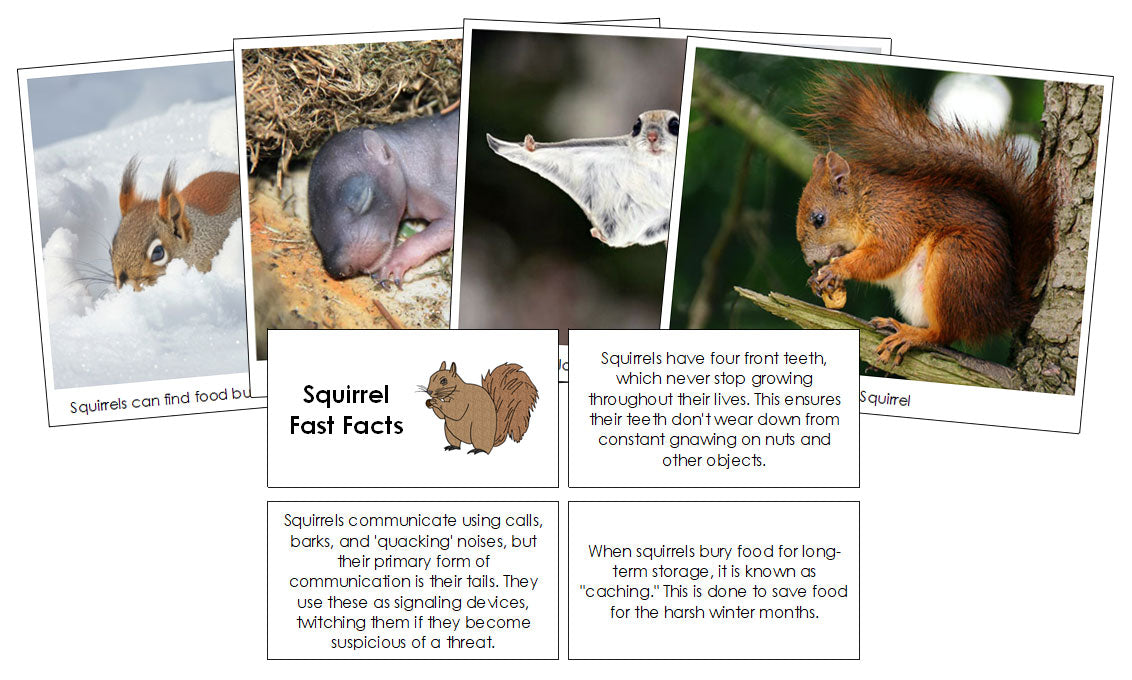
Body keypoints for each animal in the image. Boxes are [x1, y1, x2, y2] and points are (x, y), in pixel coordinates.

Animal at [796, 70, 1057, 365]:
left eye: (819, 218)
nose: (810, 262)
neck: (866, 201)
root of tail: (999, 311)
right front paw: (815, 281)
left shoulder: (895, 220)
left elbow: (886, 255)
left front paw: (837, 269)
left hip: (956, 262)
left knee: (944, 334)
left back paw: (912, 335)